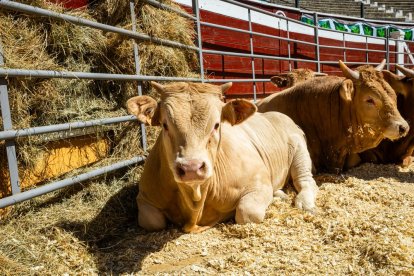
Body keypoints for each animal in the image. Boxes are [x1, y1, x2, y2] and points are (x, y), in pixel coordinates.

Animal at [128, 81, 318, 233]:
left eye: (216, 125)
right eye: (165, 125)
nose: (191, 168)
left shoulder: (259, 182)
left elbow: (247, 213)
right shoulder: (144, 196)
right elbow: (152, 221)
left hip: (300, 150)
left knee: (306, 181)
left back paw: (305, 202)